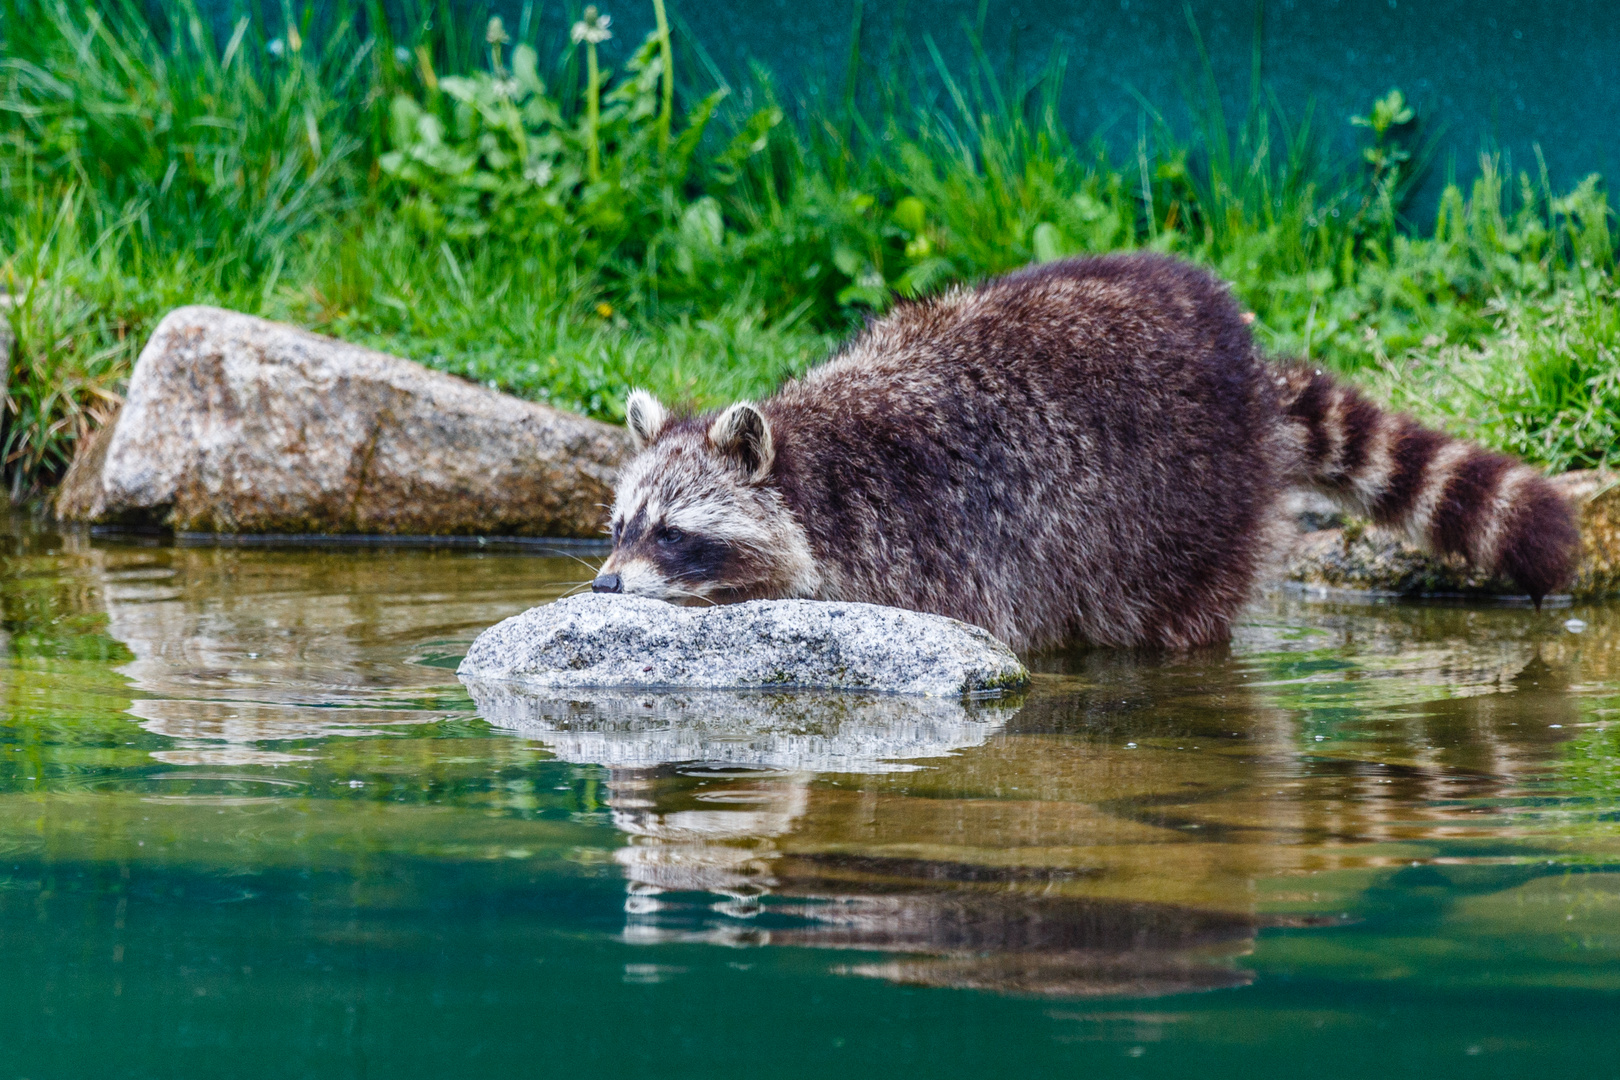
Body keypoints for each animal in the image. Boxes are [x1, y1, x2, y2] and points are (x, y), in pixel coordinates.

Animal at [589, 254, 1574, 650]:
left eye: (672, 532)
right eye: (620, 525)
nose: (602, 585)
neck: (810, 466)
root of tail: (1249, 376)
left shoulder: (931, 544)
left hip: (1187, 507)